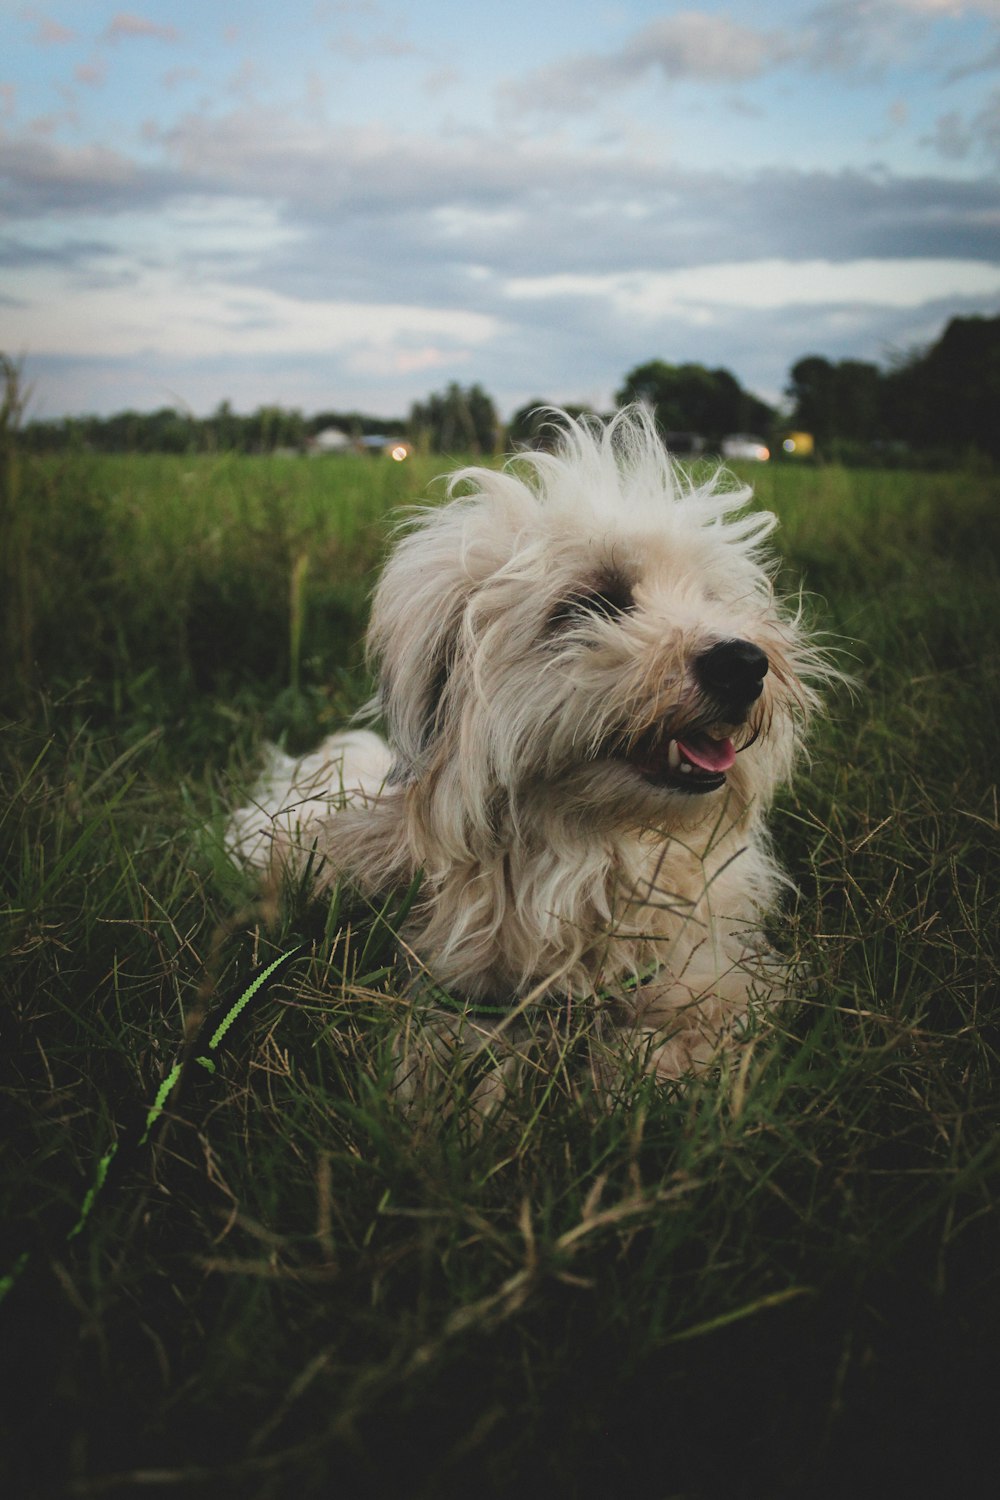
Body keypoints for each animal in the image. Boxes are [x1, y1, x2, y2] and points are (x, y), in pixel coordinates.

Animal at [230, 411, 827, 1086]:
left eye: (711, 596)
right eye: (595, 602)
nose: (744, 663)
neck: (591, 860)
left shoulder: (716, 975)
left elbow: (696, 1026)